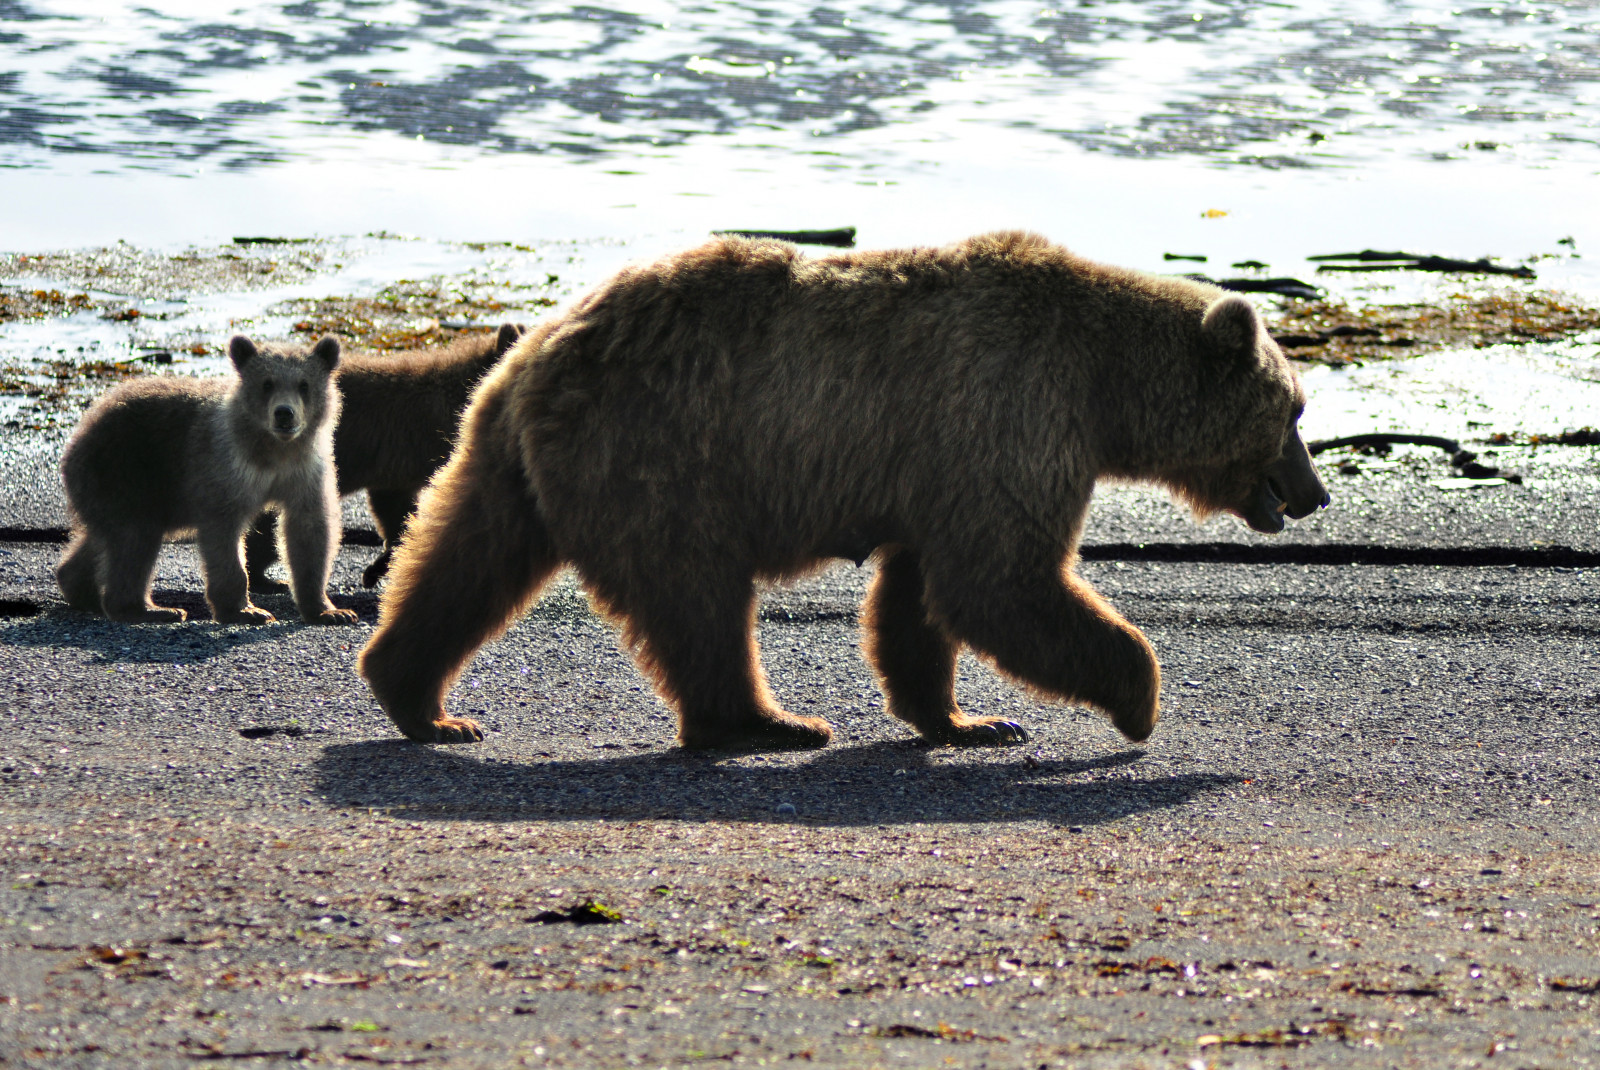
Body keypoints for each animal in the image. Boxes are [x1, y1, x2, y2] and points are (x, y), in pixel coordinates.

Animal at [57, 335, 359, 626]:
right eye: (267, 383)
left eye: (304, 384)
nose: (284, 413)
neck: (273, 450)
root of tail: (85, 425)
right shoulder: (223, 469)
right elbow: (223, 534)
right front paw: (246, 611)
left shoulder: (305, 472)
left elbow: (309, 530)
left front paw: (331, 611)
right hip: (126, 472)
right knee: (134, 539)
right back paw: (150, 609)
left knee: (106, 537)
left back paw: (81, 589)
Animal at [356, 232, 1329, 750]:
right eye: (1293, 409)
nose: (1315, 494)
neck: (1103, 388)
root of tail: (540, 347)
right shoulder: (1009, 411)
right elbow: (1003, 581)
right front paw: (1138, 699)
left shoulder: (939, 464)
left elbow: (922, 597)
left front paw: (965, 719)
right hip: (662, 451)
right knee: (697, 600)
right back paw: (768, 722)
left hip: (512, 457)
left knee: (466, 558)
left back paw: (419, 699)